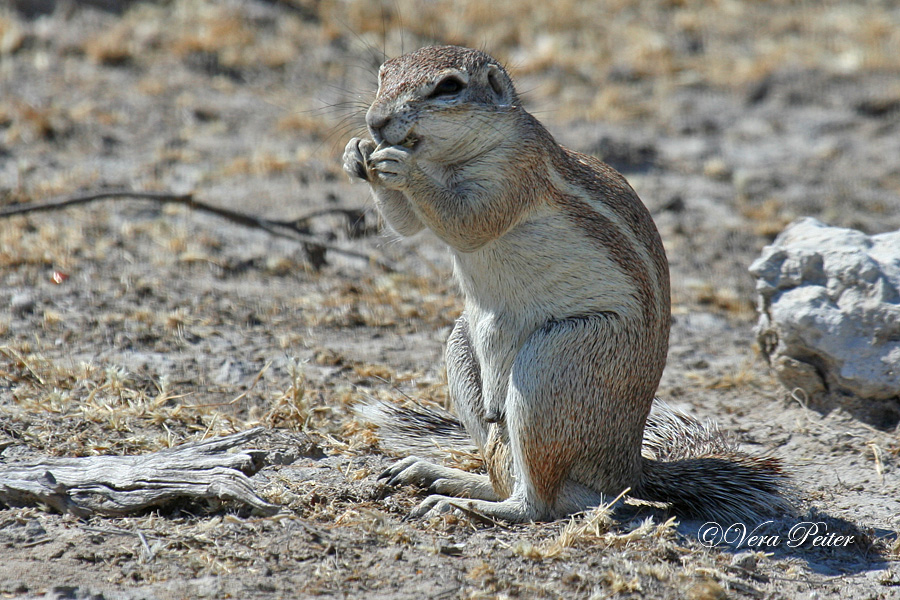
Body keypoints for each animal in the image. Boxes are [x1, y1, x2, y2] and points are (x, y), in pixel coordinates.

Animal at [342, 45, 792, 520]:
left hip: (553, 363)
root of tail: (628, 469)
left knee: (538, 504)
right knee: (506, 473)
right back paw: (438, 475)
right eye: (382, 73)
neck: (447, 161)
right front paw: (357, 154)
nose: (375, 122)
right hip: (463, 349)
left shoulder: (515, 175)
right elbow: (407, 225)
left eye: (448, 86)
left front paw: (399, 165)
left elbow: (467, 223)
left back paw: (458, 503)